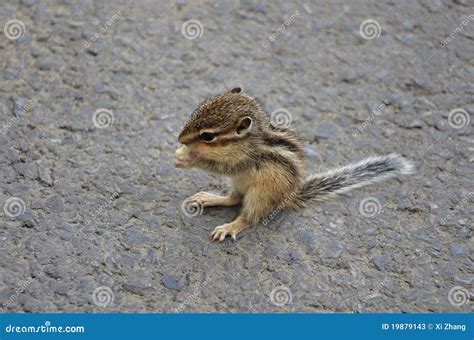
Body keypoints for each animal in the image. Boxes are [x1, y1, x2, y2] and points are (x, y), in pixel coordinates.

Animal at [175, 87, 414, 242]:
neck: (250, 140)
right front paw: (182, 153)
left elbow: (218, 166)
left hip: (260, 194)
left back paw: (230, 226)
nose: (180, 138)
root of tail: (289, 195)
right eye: (195, 112)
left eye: (207, 136)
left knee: (249, 216)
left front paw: (188, 158)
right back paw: (209, 198)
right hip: (238, 184)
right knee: (233, 199)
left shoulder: (243, 161)